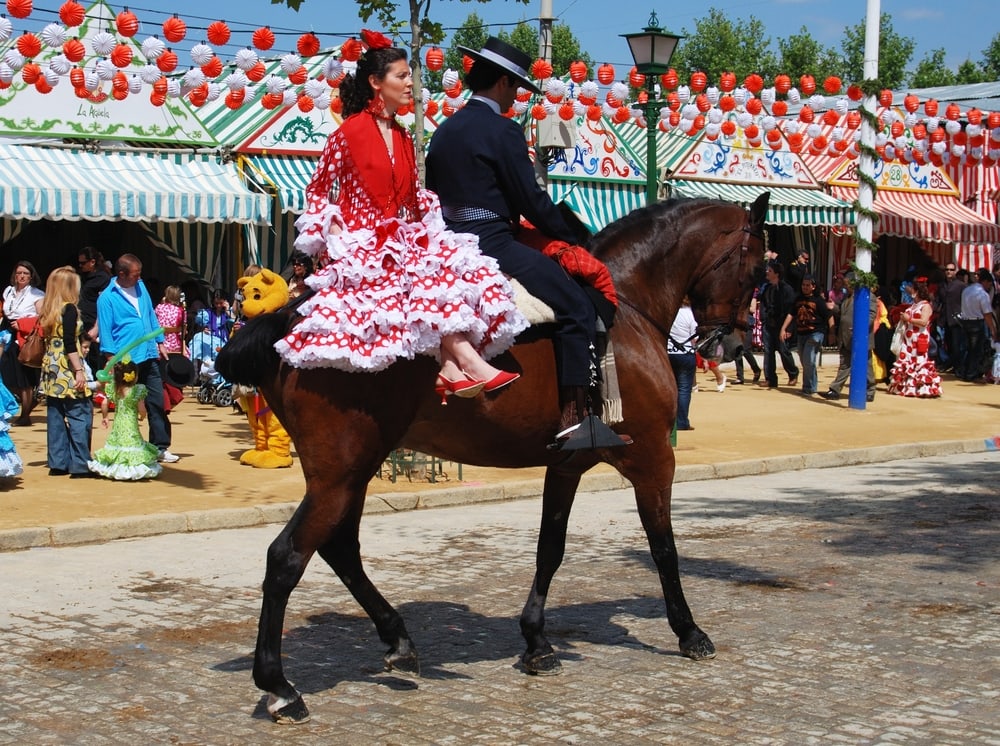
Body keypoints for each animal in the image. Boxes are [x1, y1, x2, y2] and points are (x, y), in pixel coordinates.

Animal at [215, 192, 768, 720]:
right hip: (341, 473)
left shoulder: (567, 463)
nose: (735, 344)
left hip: (353, 471)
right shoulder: (652, 458)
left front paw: (537, 642)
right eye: (758, 269)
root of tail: (287, 316)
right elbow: (664, 548)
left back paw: (398, 640)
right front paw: (689, 631)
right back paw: (281, 687)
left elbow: (551, 548)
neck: (626, 305)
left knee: (339, 548)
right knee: (287, 558)